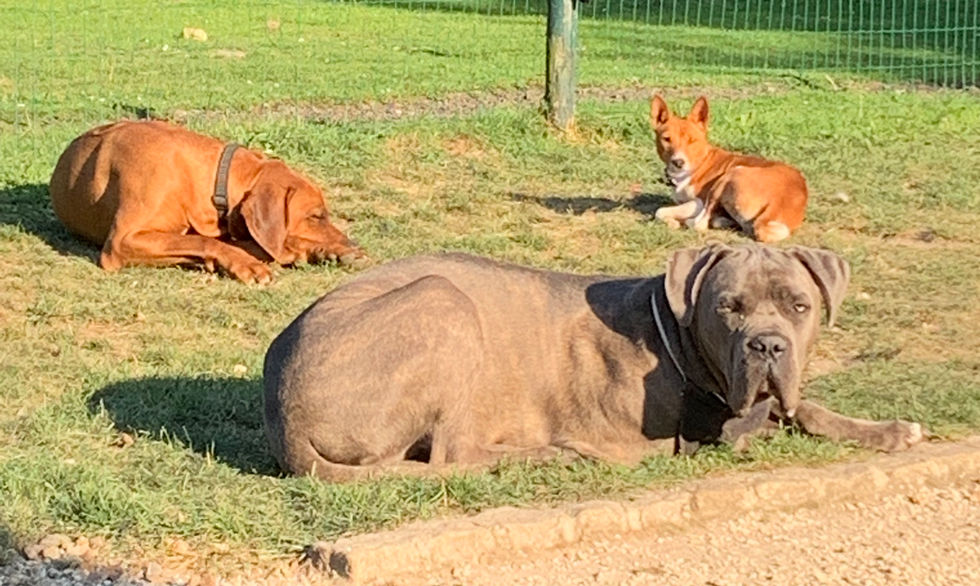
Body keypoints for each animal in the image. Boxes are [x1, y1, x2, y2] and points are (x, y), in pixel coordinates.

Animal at [49, 120, 364, 283]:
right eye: (316, 216)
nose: (352, 243)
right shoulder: (122, 242)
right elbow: (206, 241)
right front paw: (247, 263)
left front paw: (328, 250)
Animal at [263, 244, 924, 481]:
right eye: (728, 307)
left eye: (798, 305)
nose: (766, 345)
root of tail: (283, 413)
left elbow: (804, 405)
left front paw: (888, 430)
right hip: (442, 302)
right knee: (456, 454)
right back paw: (550, 453)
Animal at [650, 95, 808, 243]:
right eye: (667, 139)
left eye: (692, 140)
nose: (678, 162)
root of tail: (778, 202)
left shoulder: (699, 201)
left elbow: (660, 211)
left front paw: (673, 222)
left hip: (732, 173)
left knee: (699, 224)